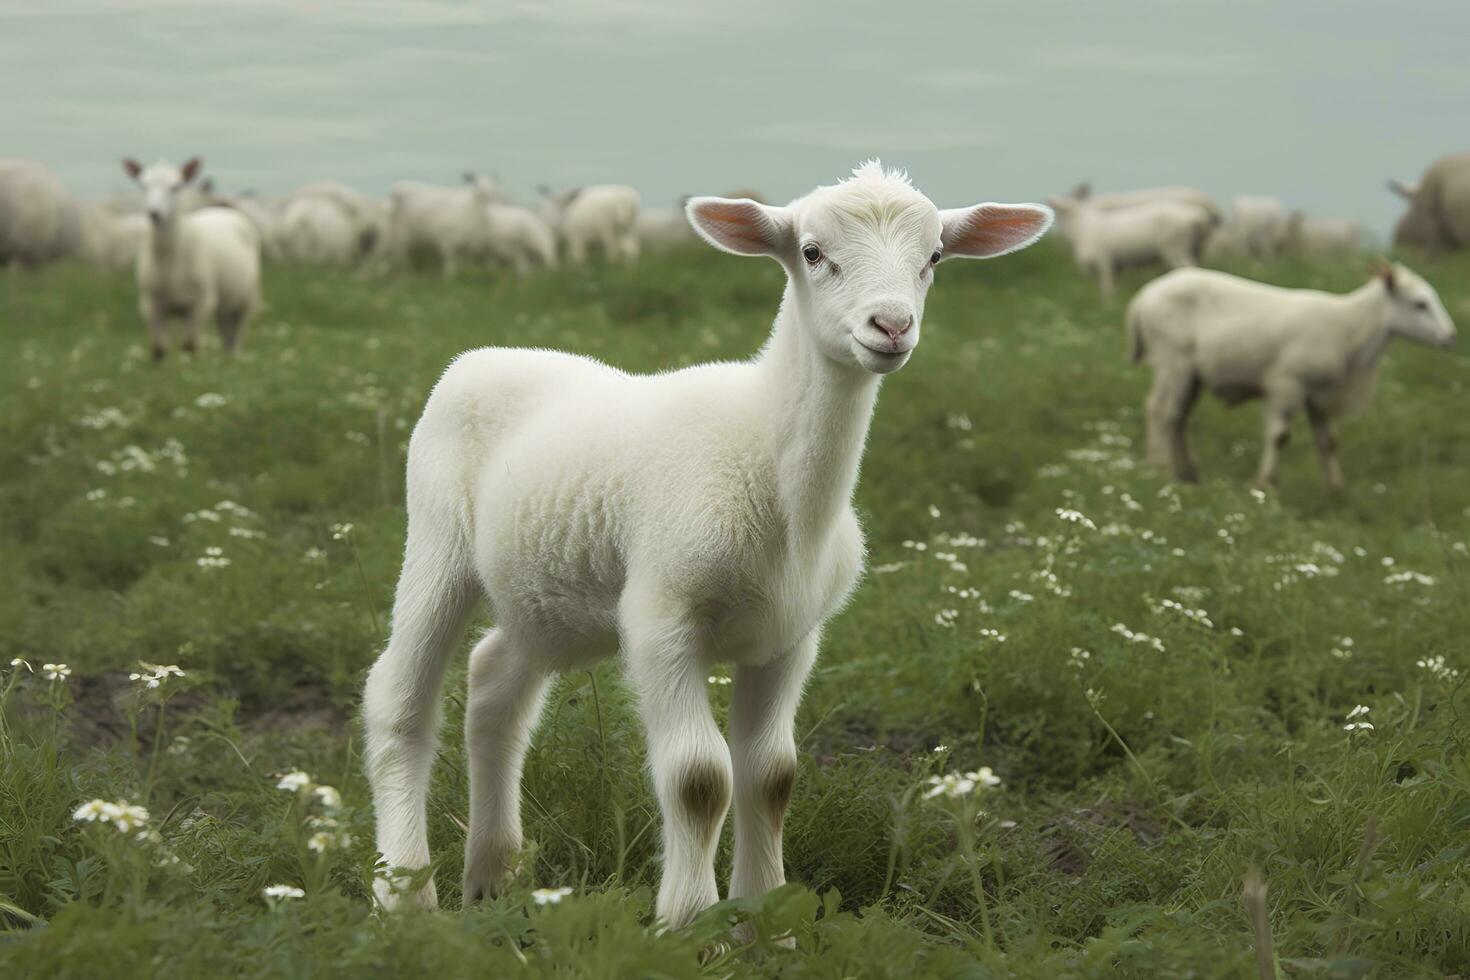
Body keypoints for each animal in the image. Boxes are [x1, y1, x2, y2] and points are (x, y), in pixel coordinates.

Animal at [123, 157, 261, 359]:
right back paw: (227, 359)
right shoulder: (150, 304)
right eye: (143, 185)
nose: (154, 214)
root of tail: (224, 211)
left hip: (246, 297)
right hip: (224, 301)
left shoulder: (201, 303)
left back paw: (235, 357)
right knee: (226, 331)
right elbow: (158, 349)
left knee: (238, 333)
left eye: (176, 187)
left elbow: (190, 345)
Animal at [364, 160, 1058, 928]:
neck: (769, 454)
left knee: (494, 686)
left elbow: (772, 775)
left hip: (549, 599)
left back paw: (492, 878)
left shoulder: (790, 638)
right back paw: (405, 892)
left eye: (934, 256)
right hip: (437, 540)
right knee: (399, 700)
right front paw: (690, 924)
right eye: (812, 251)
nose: (891, 326)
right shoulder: (662, 621)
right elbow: (699, 779)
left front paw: (766, 923)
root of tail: (479, 357)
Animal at [1040, 195, 1211, 295]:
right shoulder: (1117, 266)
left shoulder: (1104, 262)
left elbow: (1107, 288)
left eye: (1061, 211)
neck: (1080, 227)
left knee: (1187, 267)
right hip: (1196, 248)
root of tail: (1198, 216)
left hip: (1175, 247)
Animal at [1123, 262, 1458, 487]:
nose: (1451, 337)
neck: (1350, 329)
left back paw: (1188, 473)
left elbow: (1328, 442)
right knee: (1160, 410)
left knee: (1178, 418)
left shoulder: (1318, 395)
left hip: (1192, 374)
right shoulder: (1287, 384)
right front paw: (1266, 483)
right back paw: (1161, 468)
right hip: (1172, 362)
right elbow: (1279, 436)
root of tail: (1143, 297)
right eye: (1420, 304)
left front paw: (1336, 490)